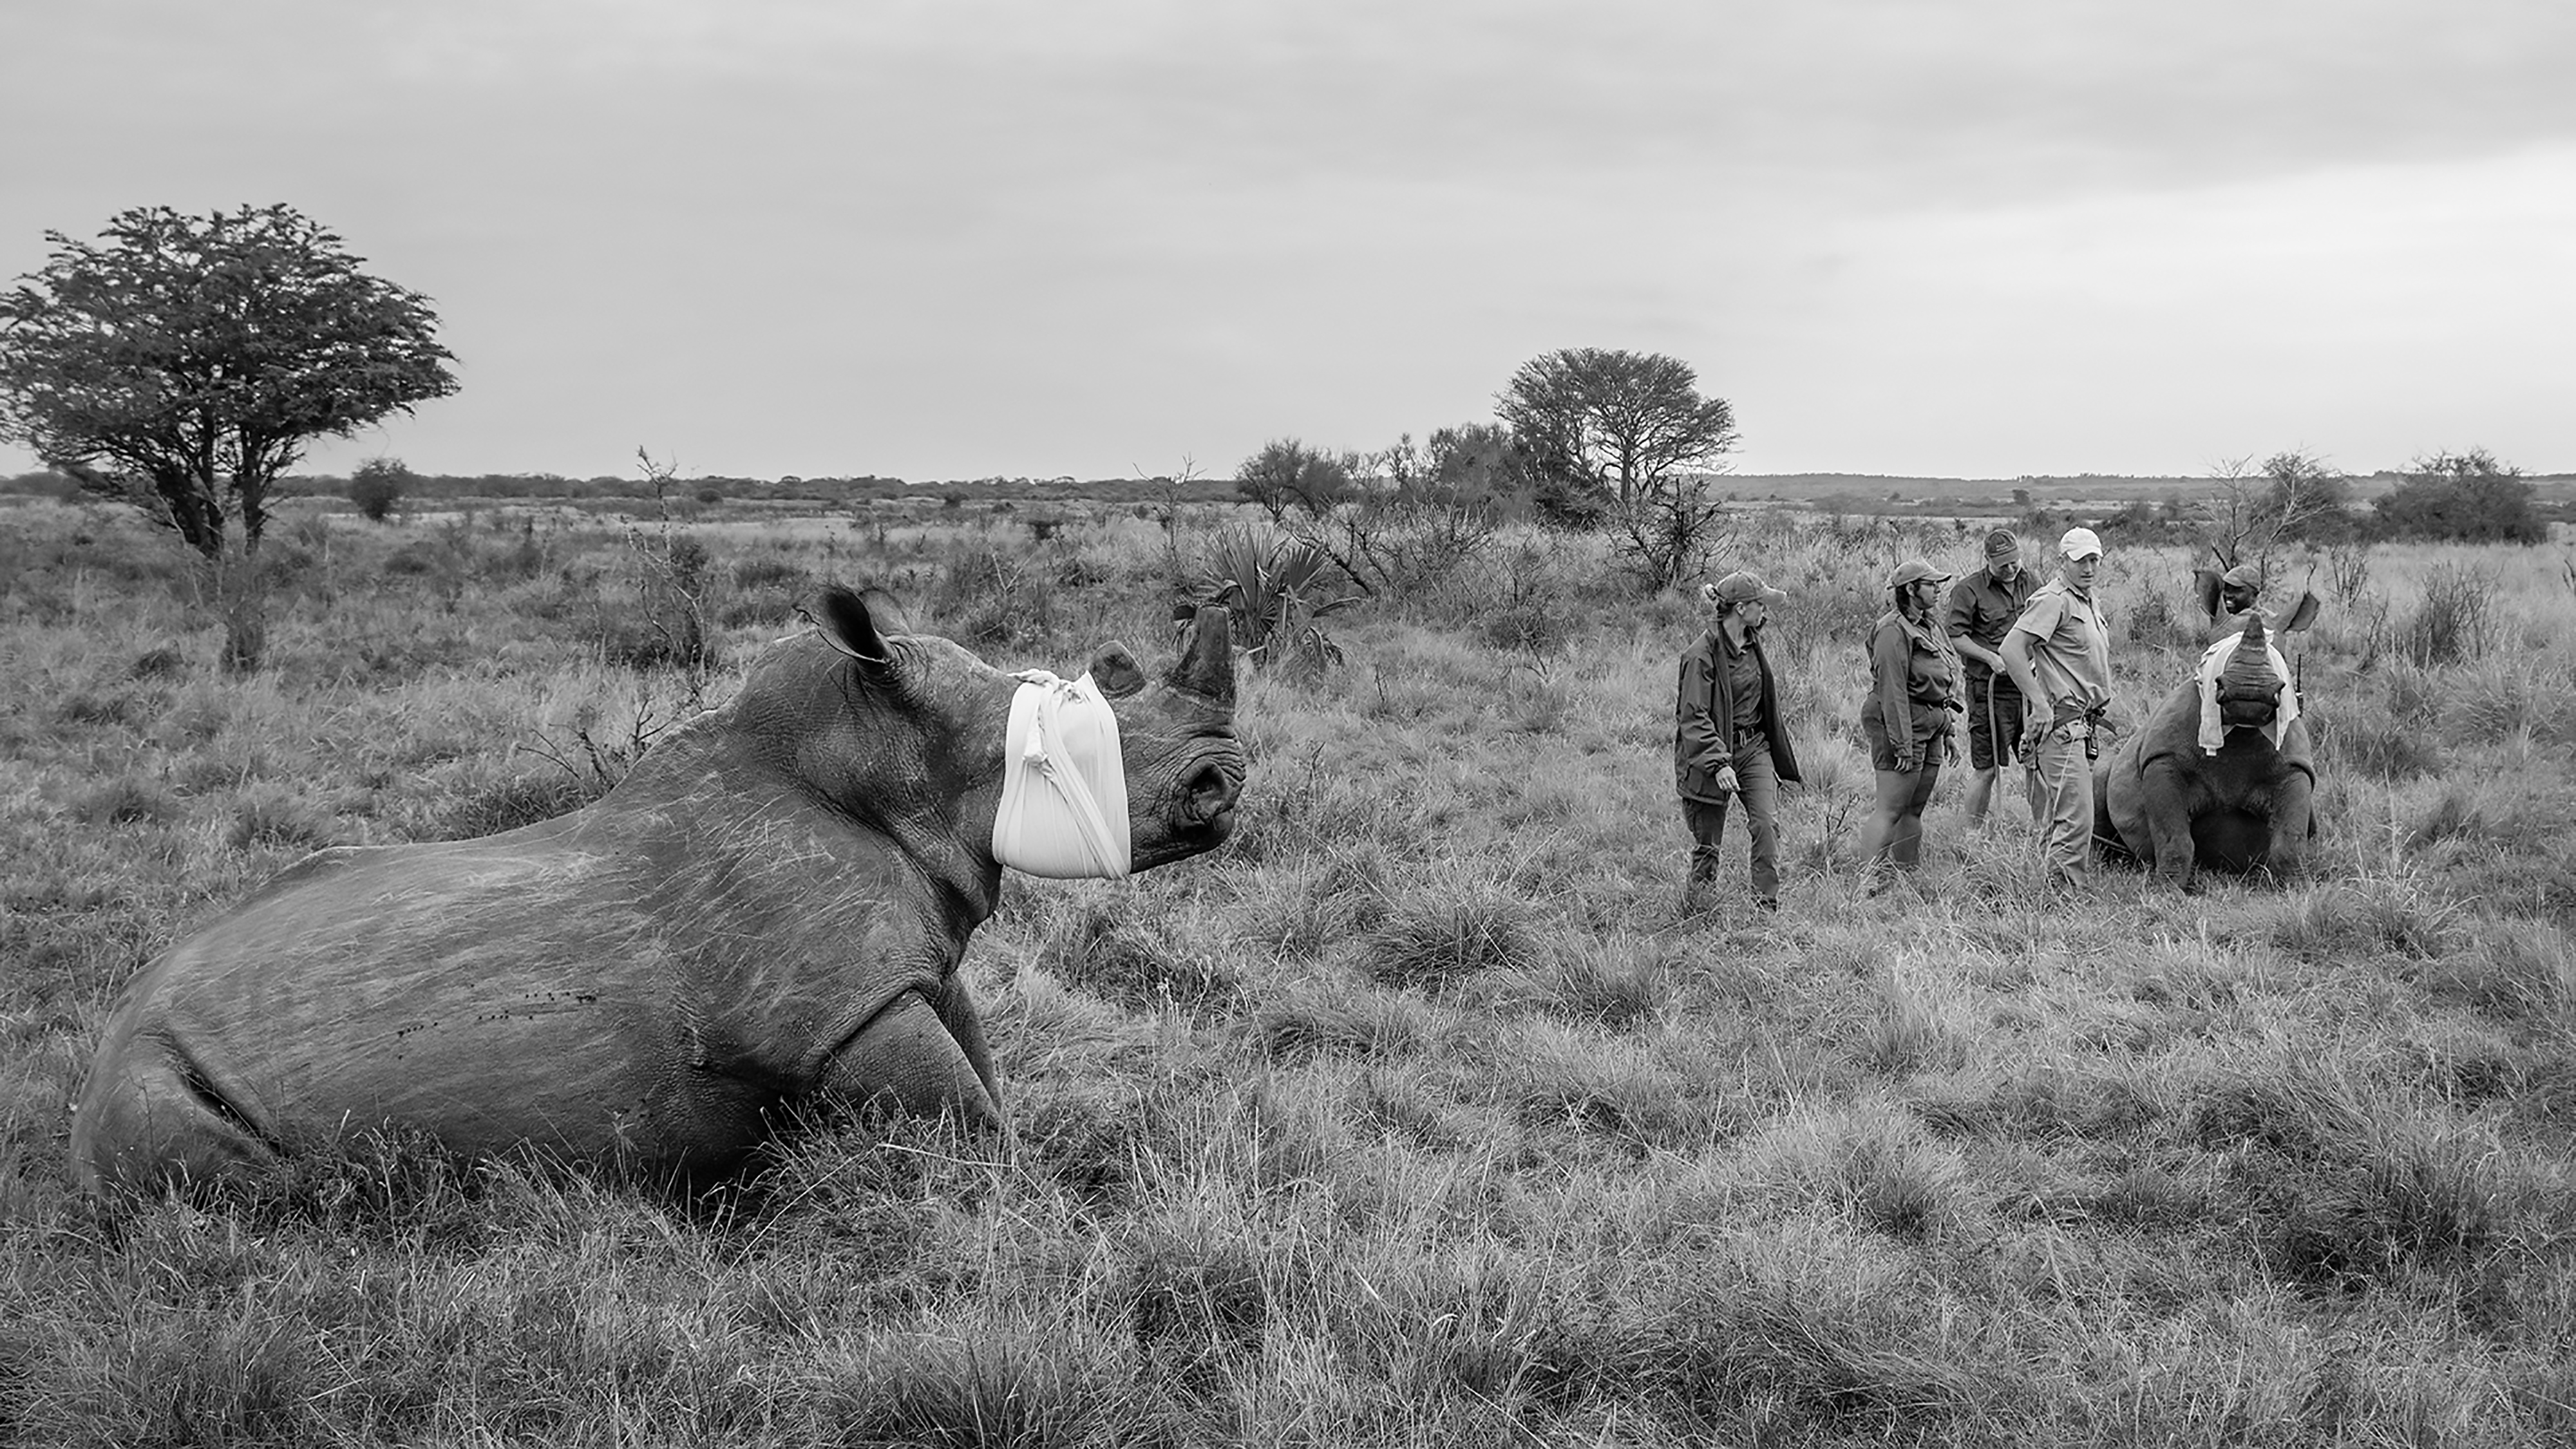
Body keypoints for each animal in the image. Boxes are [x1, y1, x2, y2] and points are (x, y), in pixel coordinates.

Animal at [70, 586, 1245, 1194]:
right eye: (1053, 754)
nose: (1226, 780)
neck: (894, 761)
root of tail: (110, 1029)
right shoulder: (834, 1009)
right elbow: (973, 1123)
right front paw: (1047, 1208)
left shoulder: (907, 963)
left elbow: (982, 1065)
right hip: (146, 1072)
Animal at [2093, 612, 2314, 890]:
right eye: (2212, 649)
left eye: (2280, 655)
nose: (2249, 688)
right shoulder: (2163, 759)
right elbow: (2174, 837)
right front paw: (2168, 890)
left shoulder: (2294, 767)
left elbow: (2290, 838)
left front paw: (2298, 888)